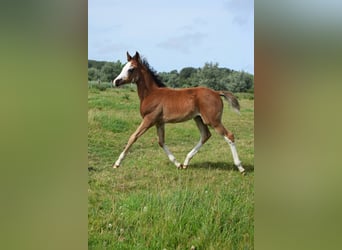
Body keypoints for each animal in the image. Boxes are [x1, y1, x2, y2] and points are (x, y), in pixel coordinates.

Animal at [113, 51, 244, 174]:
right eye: (123, 67)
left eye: (131, 69)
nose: (115, 82)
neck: (151, 94)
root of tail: (216, 92)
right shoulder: (159, 122)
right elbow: (161, 142)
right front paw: (177, 164)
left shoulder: (149, 119)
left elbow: (133, 137)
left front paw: (117, 163)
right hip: (198, 118)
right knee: (205, 135)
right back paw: (186, 162)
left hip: (213, 120)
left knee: (229, 136)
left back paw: (240, 167)